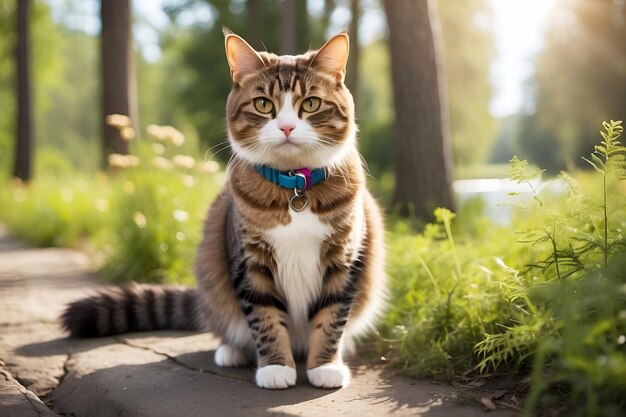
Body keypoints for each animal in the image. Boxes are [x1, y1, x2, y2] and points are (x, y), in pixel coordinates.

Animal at [63, 30, 386, 390]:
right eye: (264, 104)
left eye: (311, 104)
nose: (287, 128)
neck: (294, 184)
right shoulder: (249, 261)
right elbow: (264, 317)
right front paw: (276, 366)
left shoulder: (343, 258)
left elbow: (331, 316)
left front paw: (326, 365)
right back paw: (232, 351)